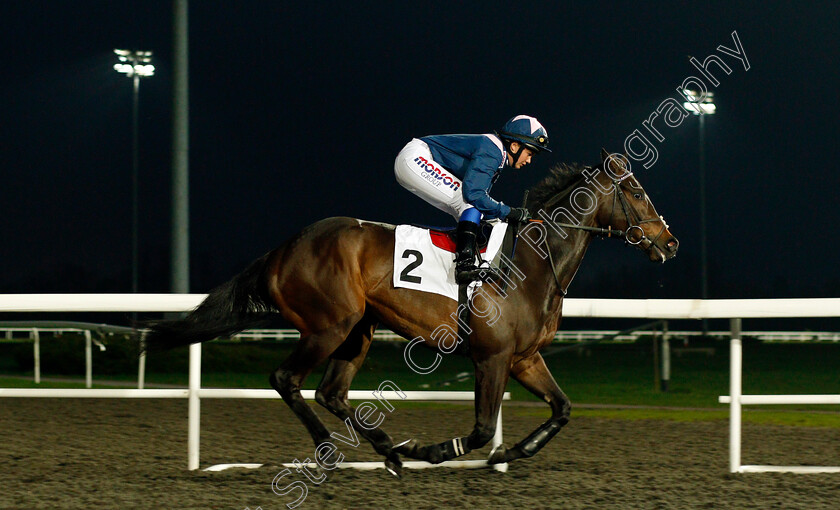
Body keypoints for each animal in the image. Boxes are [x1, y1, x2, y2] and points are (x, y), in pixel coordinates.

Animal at [143, 149, 676, 476]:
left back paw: (390, 450)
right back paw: (334, 451)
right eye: (635, 192)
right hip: (327, 326)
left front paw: (514, 451)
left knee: (331, 392)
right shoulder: (492, 358)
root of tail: (283, 249)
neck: (531, 261)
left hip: (357, 331)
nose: (669, 242)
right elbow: (481, 430)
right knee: (286, 379)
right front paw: (438, 451)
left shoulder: (525, 358)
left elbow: (562, 408)